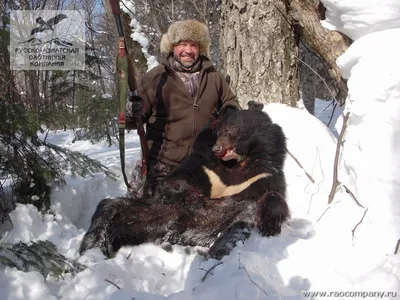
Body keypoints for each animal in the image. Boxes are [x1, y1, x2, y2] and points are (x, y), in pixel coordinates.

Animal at [79, 102, 290, 258]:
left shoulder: (262, 174)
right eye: (219, 131)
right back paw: (92, 250)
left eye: (231, 129)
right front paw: (188, 195)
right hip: (154, 211)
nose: (218, 148)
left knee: (240, 222)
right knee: (108, 209)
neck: (236, 163)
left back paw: (218, 249)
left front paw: (270, 226)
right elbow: (179, 179)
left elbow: (272, 195)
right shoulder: (205, 165)